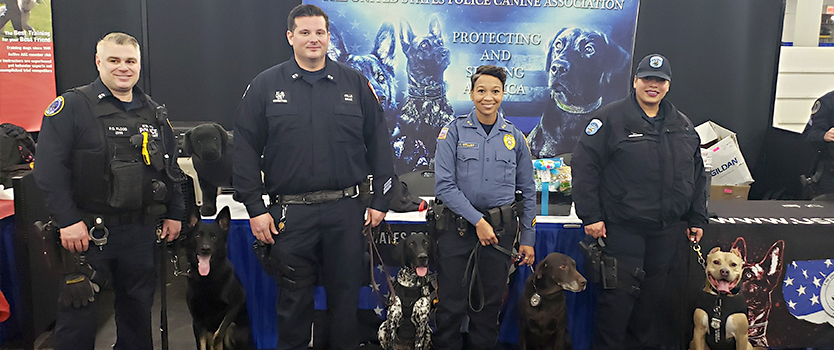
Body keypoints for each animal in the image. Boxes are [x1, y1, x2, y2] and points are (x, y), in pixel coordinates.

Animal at [182, 206, 247, 348]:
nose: (205, 249)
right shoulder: (197, 321)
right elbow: (203, 343)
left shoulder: (237, 303)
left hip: (234, 330)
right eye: (197, 236)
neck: (207, 277)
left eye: (214, 237)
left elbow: (218, 334)